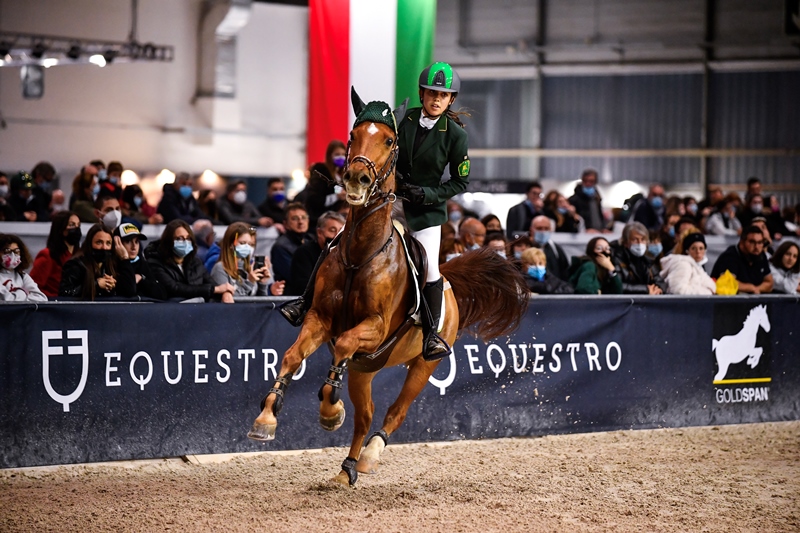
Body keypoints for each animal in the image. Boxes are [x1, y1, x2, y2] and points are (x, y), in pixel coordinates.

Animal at [247, 89, 529, 486]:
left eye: (389, 140)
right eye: (352, 136)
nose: (356, 179)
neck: (360, 255)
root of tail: (449, 286)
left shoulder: (374, 329)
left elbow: (343, 346)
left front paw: (330, 412)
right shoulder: (319, 318)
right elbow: (291, 355)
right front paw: (267, 418)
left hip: (423, 364)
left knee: (394, 412)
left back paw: (367, 457)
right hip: (364, 368)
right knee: (365, 414)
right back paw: (347, 469)